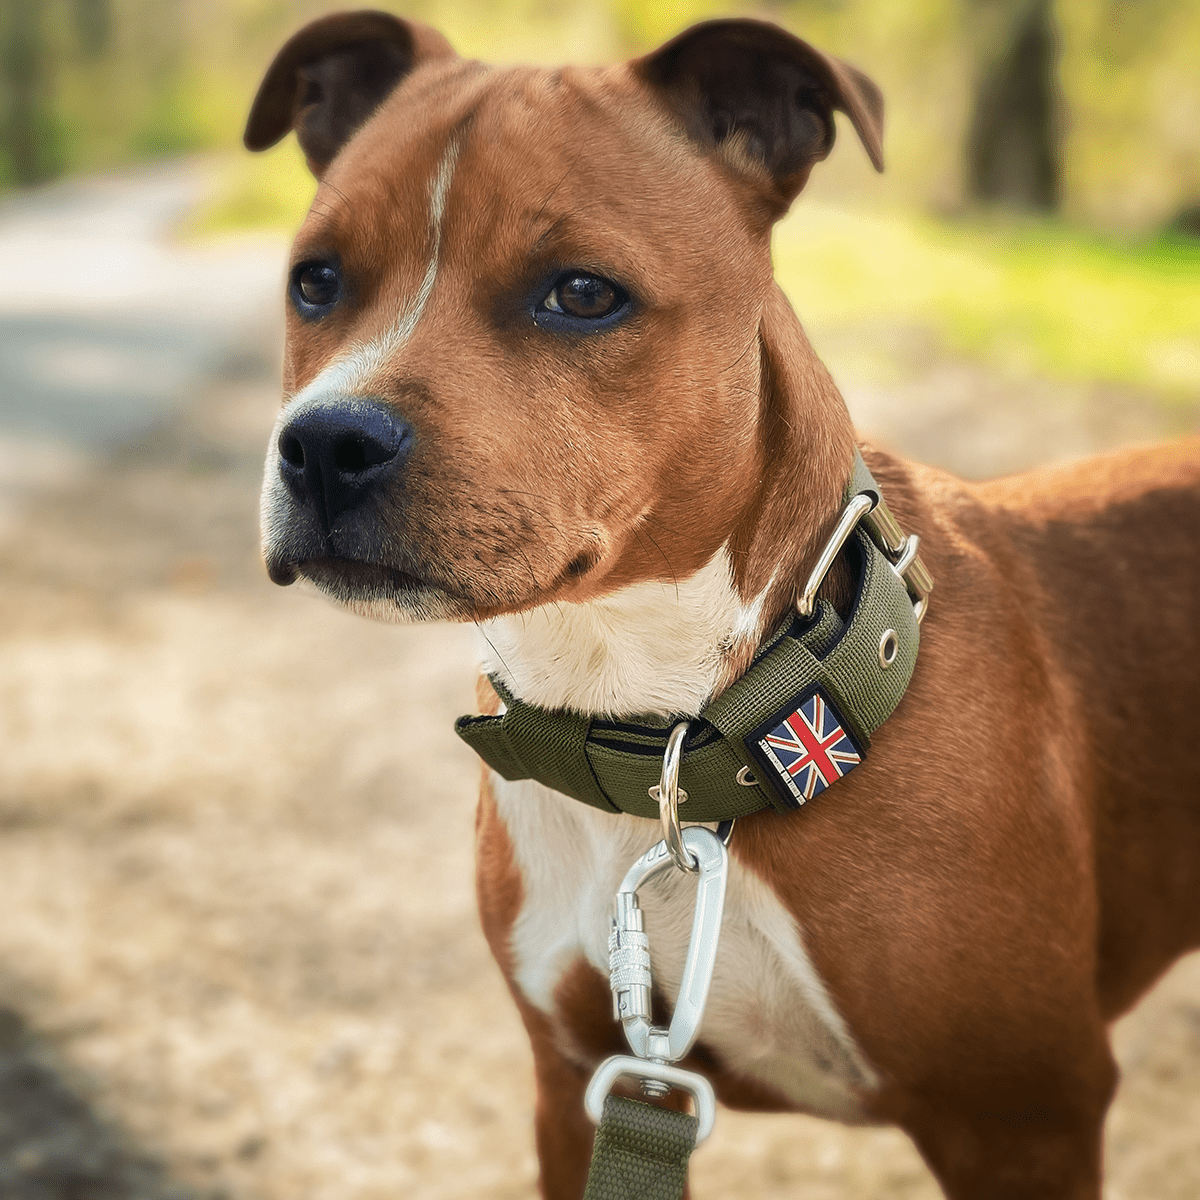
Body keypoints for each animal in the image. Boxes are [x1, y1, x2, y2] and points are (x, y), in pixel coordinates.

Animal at [243, 11, 1200, 1200]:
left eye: (583, 293)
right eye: (316, 281)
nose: (327, 442)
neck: (659, 729)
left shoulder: (1026, 1119)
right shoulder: (582, 1090)